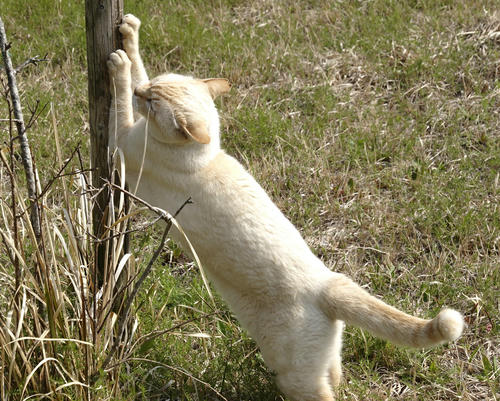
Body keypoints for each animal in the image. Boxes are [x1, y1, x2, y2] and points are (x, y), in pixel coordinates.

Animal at [107, 14, 464, 401]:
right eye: (152, 90)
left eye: (153, 103)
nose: (143, 96)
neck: (205, 155)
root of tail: (327, 284)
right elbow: (139, 65)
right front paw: (130, 33)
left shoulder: (121, 142)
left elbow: (122, 91)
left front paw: (119, 63)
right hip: (319, 362)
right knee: (335, 374)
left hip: (294, 377)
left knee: (323, 392)